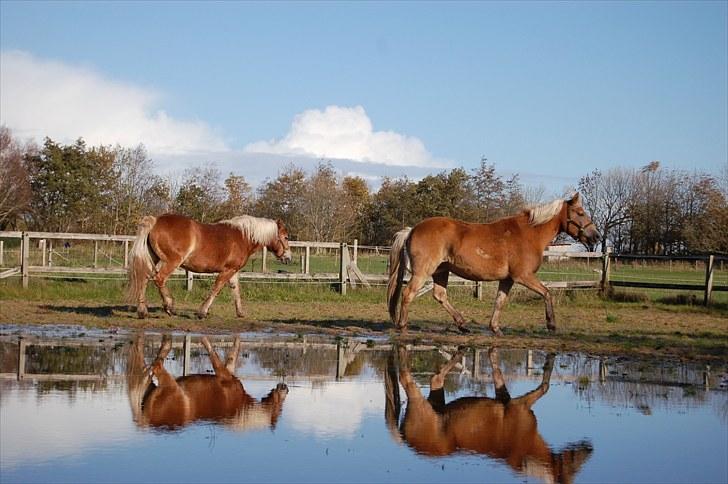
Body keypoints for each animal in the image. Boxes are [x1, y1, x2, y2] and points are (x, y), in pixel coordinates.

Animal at [126, 214, 292, 320]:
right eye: (286, 237)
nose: (288, 258)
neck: (243, 237)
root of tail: (155, 221)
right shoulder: (227, 270)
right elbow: (216, 289)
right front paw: (202, 312)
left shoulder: (233, 271)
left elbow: (236, 290)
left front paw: (240, 313)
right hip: (172, 262)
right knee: (159, 279)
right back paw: (169, 307)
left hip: (153, 259)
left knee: (144, 279)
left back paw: (143, 312)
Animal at [126, 332, 288, 432]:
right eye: (279, 409)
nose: (285, 387)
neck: (241, 409)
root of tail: (149, 421)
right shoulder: (224, 374)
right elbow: (214, 355)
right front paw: (204, 339)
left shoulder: (227, 371)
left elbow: (230, 356)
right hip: (169, 384)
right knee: (157, 364)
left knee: (151, 371)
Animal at [384, 191, 600, 334]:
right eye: (580, 213)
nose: (596, 236)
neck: (529, 234)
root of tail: (412, 229)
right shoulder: (523, 276)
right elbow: (547, 293)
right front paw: (551, 324)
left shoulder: (508, 279)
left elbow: (499, 301)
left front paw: (495, 328)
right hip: (423, 272)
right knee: (408, 293)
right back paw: (402, 326)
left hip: (441, 271)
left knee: (439, 295)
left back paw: (462, 324)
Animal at [386, 348, 592, 484]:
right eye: (569, 469)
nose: (589, 448)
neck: (525, 444)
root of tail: (406, 438)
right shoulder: (519, 405)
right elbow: (544, 387)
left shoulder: (506, 396)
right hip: (419, 402)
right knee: (408, 378)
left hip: (436, 400)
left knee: (435, 379)